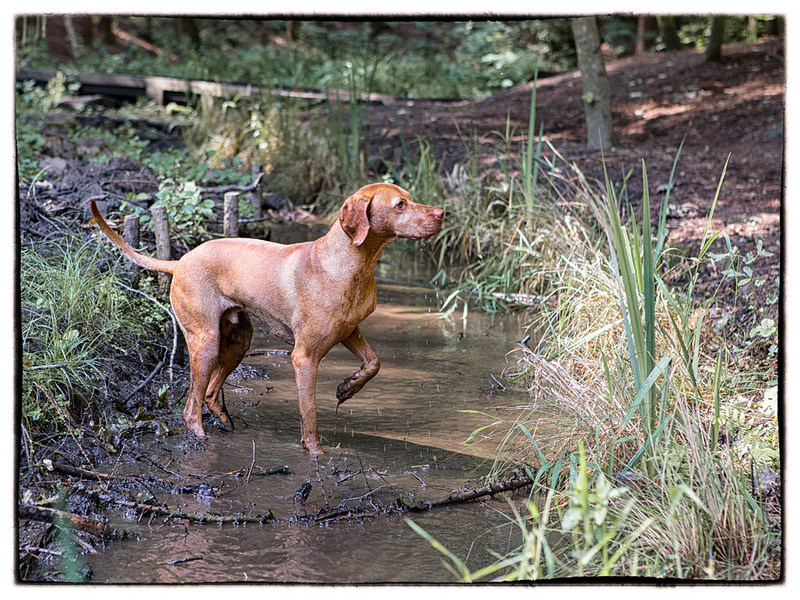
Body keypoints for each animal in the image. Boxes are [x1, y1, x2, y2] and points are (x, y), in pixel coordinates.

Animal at [94, 183, 446, 454]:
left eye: (410, 197)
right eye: (400, 205)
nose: (442, 213)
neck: (352, 264)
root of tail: (179, 261)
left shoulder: (350, 330)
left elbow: (374, 363)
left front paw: (348, 387)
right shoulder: (304, 358)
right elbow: (309, 413)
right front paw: (314, 452)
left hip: (238, 338)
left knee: (209, 393)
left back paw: (225, 422)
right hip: (205, 341)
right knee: (191, 409)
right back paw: (202, 439)